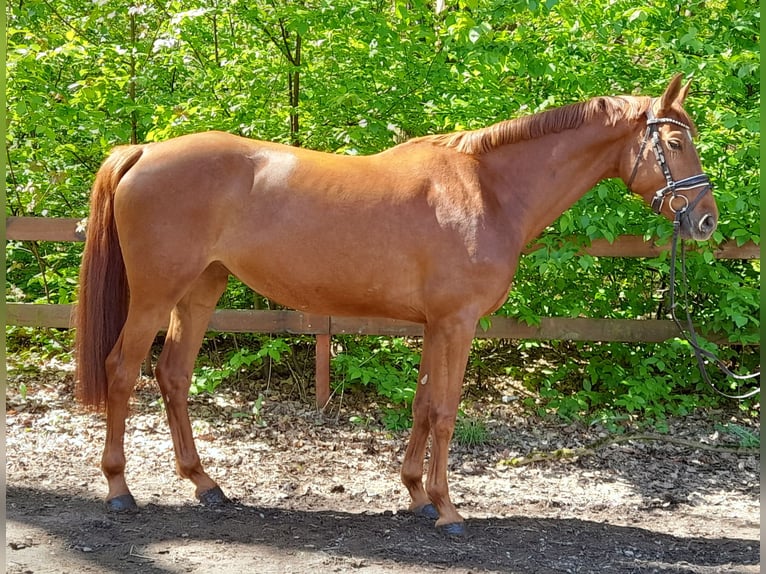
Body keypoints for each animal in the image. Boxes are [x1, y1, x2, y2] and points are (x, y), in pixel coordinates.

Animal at [75, 75, 717, 536]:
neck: (488, 191)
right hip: (155, 295)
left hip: (201, 290)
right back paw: (119, 491)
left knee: (173, 375)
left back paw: (205, 484)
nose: (706, 220)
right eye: (676, 142)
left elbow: (422, 404)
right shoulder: (458, 323)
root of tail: (143, 150)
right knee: (122, 371)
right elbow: (446, 410)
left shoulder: (436, 325)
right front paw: (448, 511)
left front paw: (416, 496)